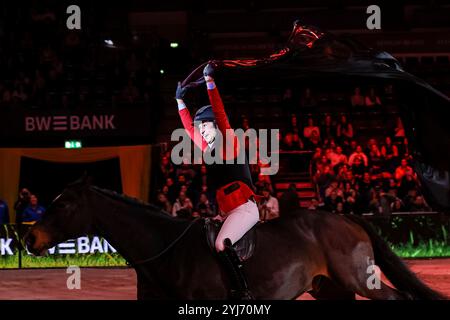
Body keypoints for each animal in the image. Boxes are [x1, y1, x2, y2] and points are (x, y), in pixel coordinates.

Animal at [25, 178, 446, 300]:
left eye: (63, 205)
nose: (29, 238)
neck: (162, 247)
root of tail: (346, 216)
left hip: (360, 280)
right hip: (331, 288)